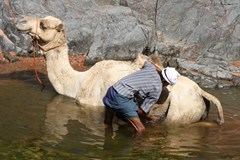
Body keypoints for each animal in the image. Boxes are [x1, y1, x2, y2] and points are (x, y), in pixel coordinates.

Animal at [15, 15, 224, 124]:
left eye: (43, 24)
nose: (20, 22)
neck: (79, 83)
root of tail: (201, 92)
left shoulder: (93, 104)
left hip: (179, 112)